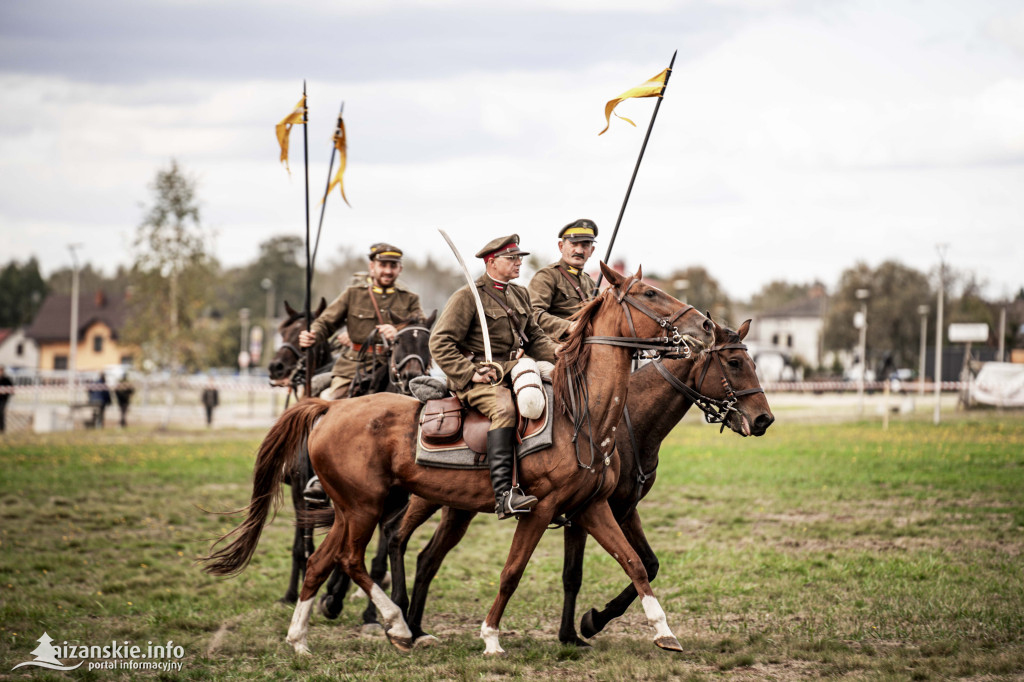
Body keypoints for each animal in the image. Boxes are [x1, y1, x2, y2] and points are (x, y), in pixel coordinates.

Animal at [199, 261, 712, 655]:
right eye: (649, 292)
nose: (705, 324)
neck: (580, 414)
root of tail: (331, 407)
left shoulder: (592, 508)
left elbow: (634, 564)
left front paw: (663, 631)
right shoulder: (540, 510)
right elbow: (511, 573)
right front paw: (491, 638)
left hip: (359, 508)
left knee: (325, 559)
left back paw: (302, 639)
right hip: (365, 507)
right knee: (349, 557)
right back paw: (396, 623)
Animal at [385, 315, 774, 647]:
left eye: (752, 362)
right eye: (734, 363)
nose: (763, 419)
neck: (623, 423)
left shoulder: (620, 510)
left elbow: (645, 564)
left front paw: (582, 626)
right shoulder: (581, 514)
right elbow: (574, 573)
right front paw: (583, 626)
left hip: (458, 509)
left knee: (428, 557)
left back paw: (415, 626)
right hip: (425, 496)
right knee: (396, 535)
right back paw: (399, 618)